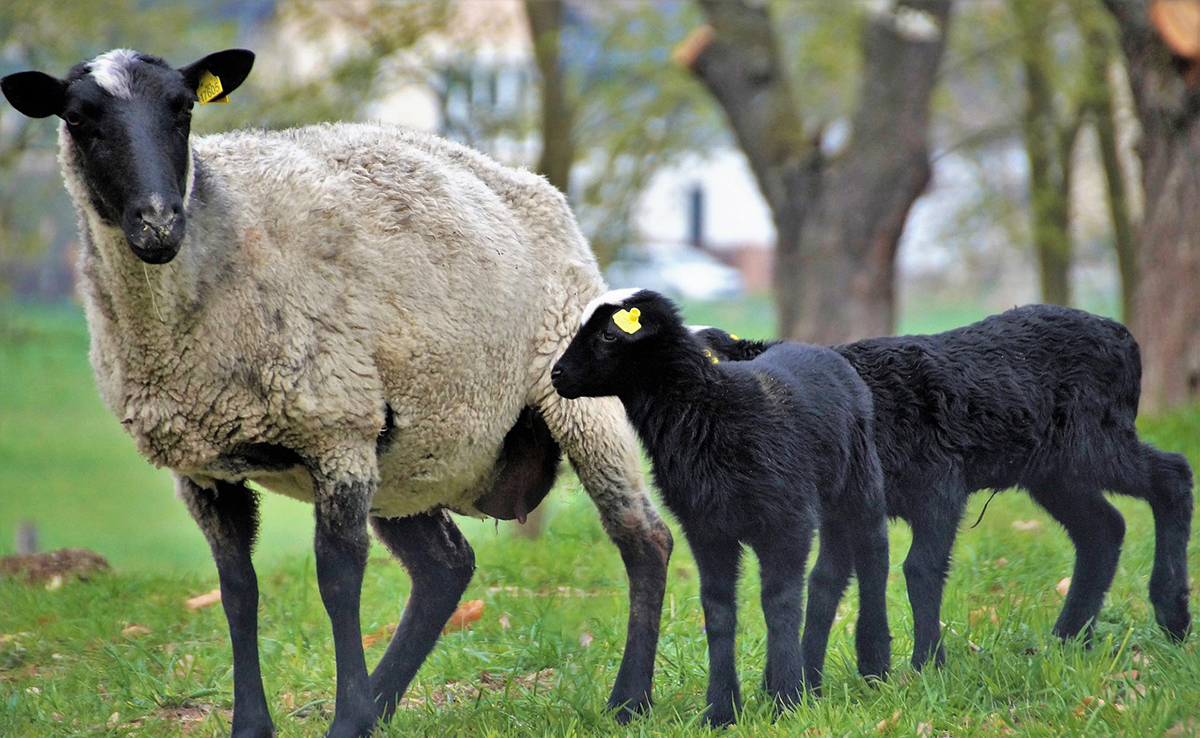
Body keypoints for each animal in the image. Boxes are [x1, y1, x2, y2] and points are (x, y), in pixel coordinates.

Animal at [0, 49, 676, 734]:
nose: (159, 222)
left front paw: (347, 719)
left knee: (644, 538)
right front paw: (260, 723)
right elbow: (237, 590)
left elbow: (338, 580)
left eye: (183, 109)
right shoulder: (202, 467)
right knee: (445, 567)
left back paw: (629, 701)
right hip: (411, 456)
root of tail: (530, 183)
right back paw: (384, 701)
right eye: (79, 118)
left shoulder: (336, 429)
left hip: (574, 395)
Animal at [552, 289, 892, 729]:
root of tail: (813, 348)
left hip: (860, 482)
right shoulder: (706, 529)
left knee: (873, 556)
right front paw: (722, 709)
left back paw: (874, 667)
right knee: (829, 574)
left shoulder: (788, 521)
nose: (556, 375)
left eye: (610, 335)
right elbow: (717, 610)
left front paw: (786, 701)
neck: (709, 411)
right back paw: (811, 678)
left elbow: (780, 603)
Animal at [696, 306, 1190, 672]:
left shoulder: (940, 484)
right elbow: (825, 581)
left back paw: (1173, 615)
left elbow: (920, 568)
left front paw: (926, 664)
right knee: (1103, 527)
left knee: (1173, 475)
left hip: (1095, 440)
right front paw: (811, 678)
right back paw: (1068, 639)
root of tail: (1121, 335)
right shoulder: (846, 508)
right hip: (1051, 470)